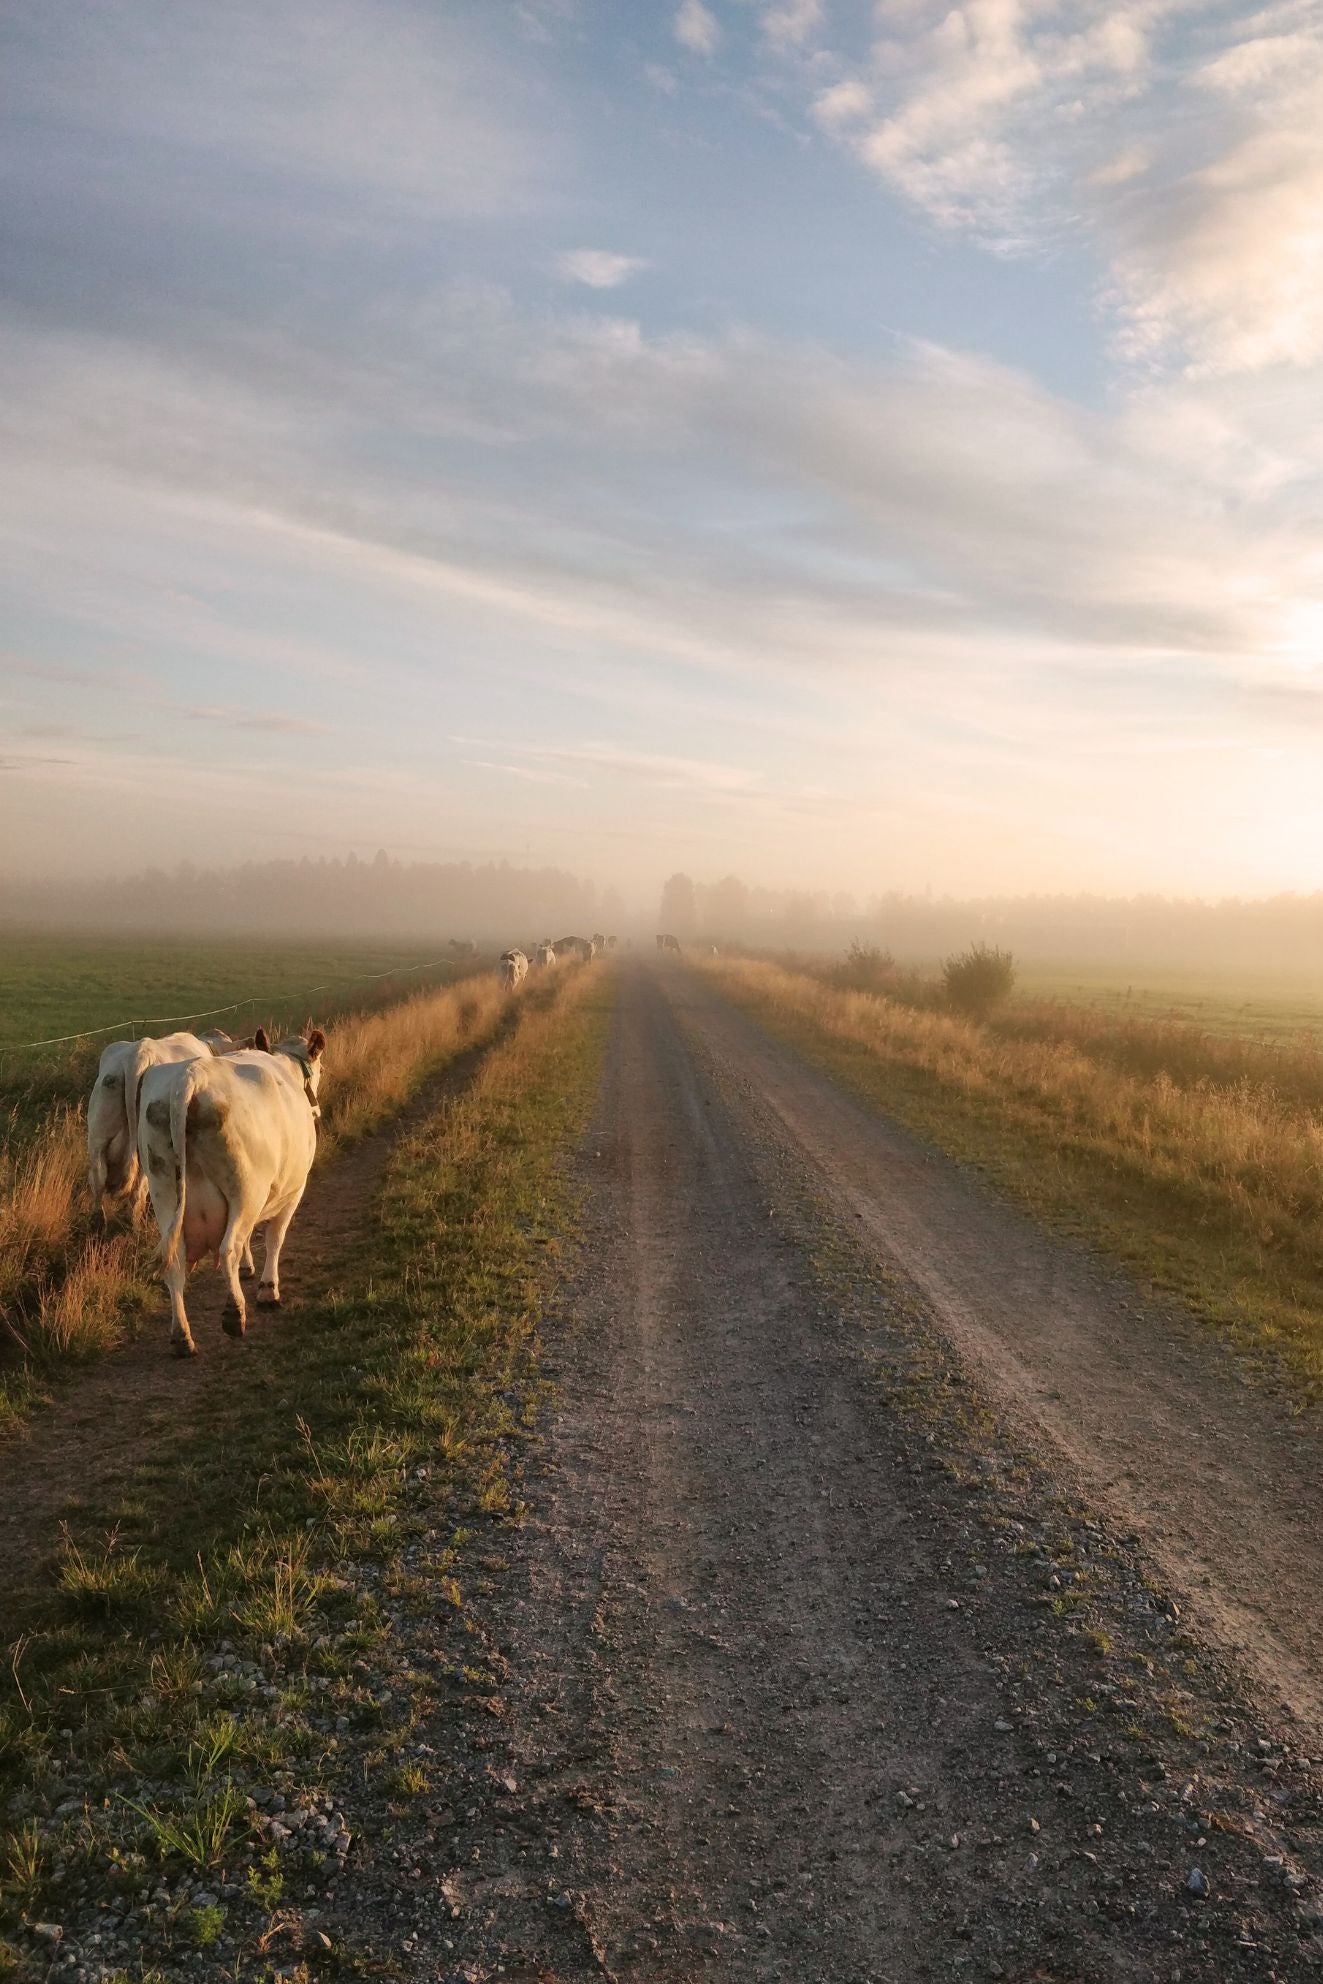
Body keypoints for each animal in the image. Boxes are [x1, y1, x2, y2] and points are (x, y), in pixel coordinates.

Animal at [136, 1031, 329, 1357]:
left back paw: (182, 1337)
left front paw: (248, 1268)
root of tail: (191, 1075)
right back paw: (234, 1313)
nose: (316, 1110)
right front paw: (268, 1290)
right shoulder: (293, 1191)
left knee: (175, 1261)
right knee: (228, 1247)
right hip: (246, 1187)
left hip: (164, 1191)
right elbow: (274, 1238)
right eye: (321, 1070)